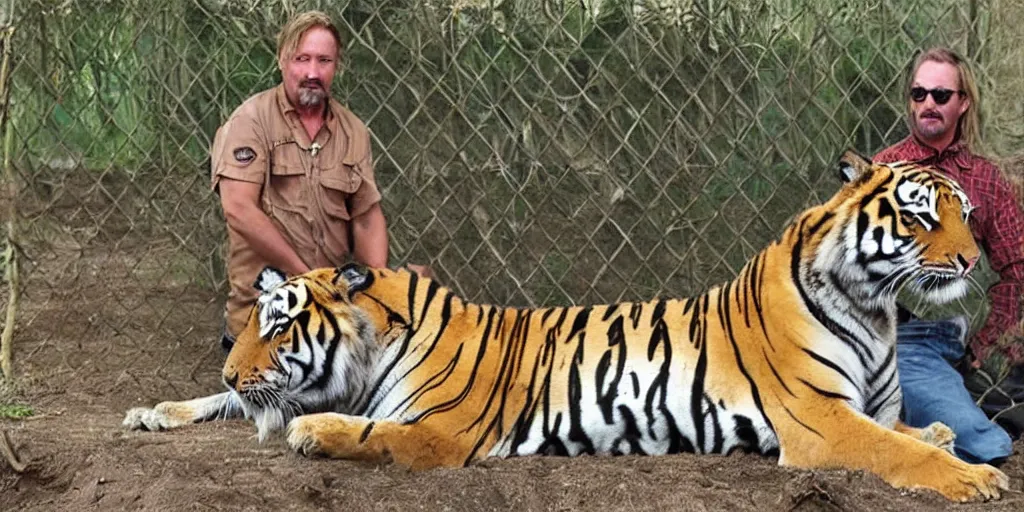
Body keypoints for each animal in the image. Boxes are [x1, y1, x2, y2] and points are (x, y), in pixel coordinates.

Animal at [125, 150, 1007, 499]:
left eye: (963, 213)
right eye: (922, 215)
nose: (972, 259)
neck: (874, 308)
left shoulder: (848, 415)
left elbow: (907, 442)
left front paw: (962, 465)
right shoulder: (823, 417)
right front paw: (158, 410)